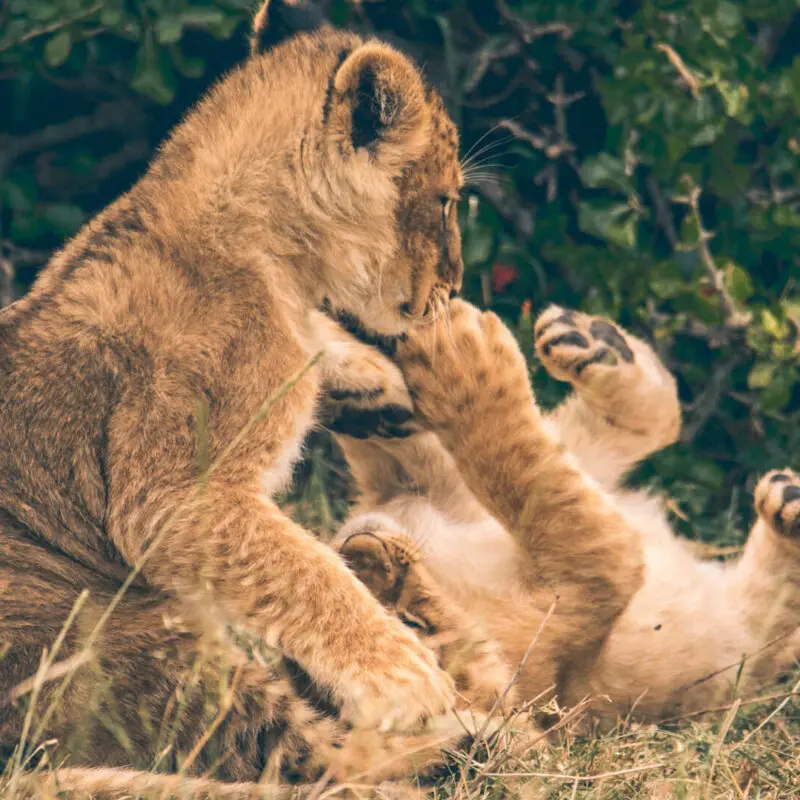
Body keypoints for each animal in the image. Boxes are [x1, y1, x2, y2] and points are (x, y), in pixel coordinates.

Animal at [0, 0, 474, 788]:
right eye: (443, 203)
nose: (454, 288)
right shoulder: (173, 497)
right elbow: (307, 571)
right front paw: (402, 676)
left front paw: (372, 381)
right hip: (114, 640)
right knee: (299, 755)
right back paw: (459, 726)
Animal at [324, 300, 800, 722]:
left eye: (411, 622)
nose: (361, 553)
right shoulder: (594, 582)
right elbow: (526, 474)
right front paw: (457, 358)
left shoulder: (427, 493)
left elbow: (415, 451)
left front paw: (363, 380)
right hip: (726, 652)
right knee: (769, 625)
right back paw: (789, 508)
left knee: (650, 418)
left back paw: (594, 342)